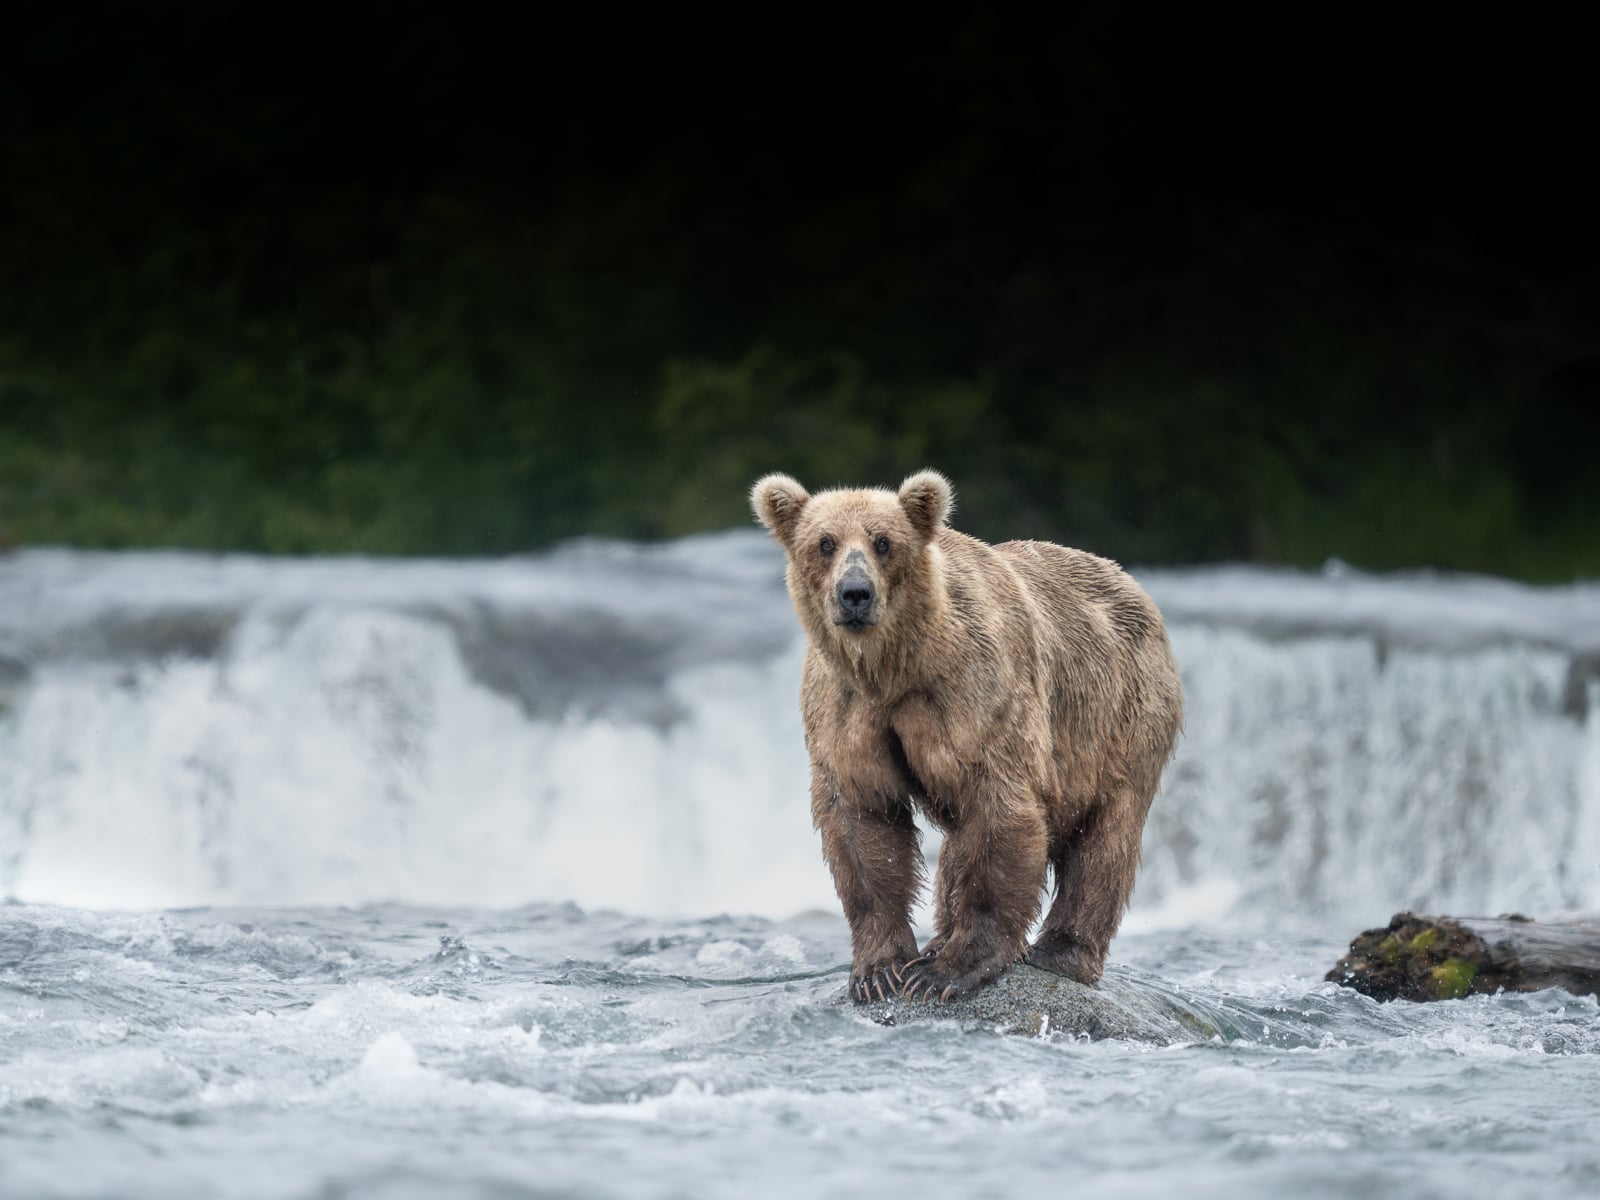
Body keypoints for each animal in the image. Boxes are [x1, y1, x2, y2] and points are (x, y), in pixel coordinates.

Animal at [751, 469, 1183, 1003]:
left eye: (883, 541)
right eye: (825, 542)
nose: (855, 593)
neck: (897, 668)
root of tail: (1129, 580)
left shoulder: (976, 696)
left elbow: (999, 815)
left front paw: (947, 971)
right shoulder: (847, 708)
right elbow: (863, 821)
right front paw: (880, 970)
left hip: (1124, 719)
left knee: (1105, 840)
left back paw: (1059, 953)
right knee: (960, 846)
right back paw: (940, 937)